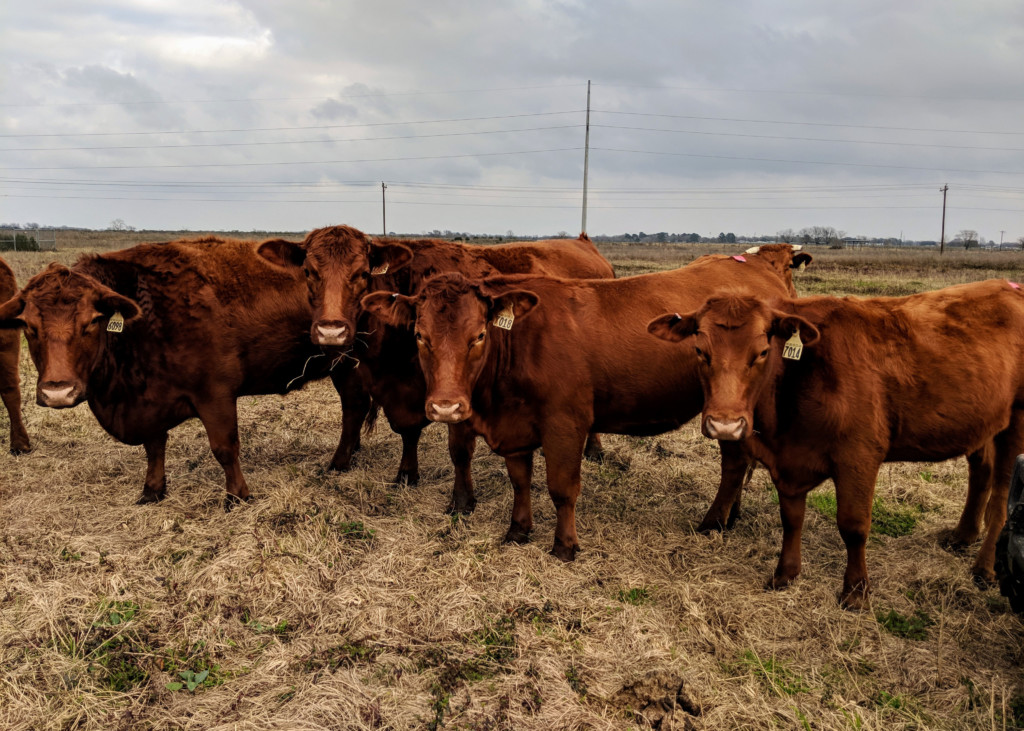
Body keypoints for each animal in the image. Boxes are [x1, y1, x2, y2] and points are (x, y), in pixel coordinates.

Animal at [0, 237, 356, 507]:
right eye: (29, 327)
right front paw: (152, 490)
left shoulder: (215, 395)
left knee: (352, 411)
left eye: (90, 322)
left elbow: (225, 448)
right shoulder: (150, 399)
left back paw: (338, 462)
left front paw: (237, 496)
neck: (149, 316)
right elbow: (154, 447)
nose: (57, 392)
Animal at [256, 225, 614, 509]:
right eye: (309, 273)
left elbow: (450, 445)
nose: (332, 331)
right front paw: (370, 468)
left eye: (362, 274)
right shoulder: (367, 379)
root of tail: (583, 245)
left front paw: (453, 496)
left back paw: (594, 449)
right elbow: (378, 423)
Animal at [358, 244, 806, 556]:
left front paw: (564, 547)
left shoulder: (565, 424)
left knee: (733, 465)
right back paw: (730, 518)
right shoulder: (515, 426)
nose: (446, 407)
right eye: (420, 336)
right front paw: (518, 530)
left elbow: (562, 487)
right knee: (739, 461)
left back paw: (712, 523)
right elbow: (520, 480)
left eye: (479, 335)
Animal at [647, 282, 1024, 606]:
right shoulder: (788, 461)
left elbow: (853, 526)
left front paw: (856, 592)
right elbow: (791, 518)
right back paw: (962, 536)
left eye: (763, 352)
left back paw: (984, 567)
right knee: (981, 472)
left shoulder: (859, 457)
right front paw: (785, 575)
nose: (725, 423)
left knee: (1002, 500)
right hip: (984, 423)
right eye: (700, 351)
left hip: (1016, 426)